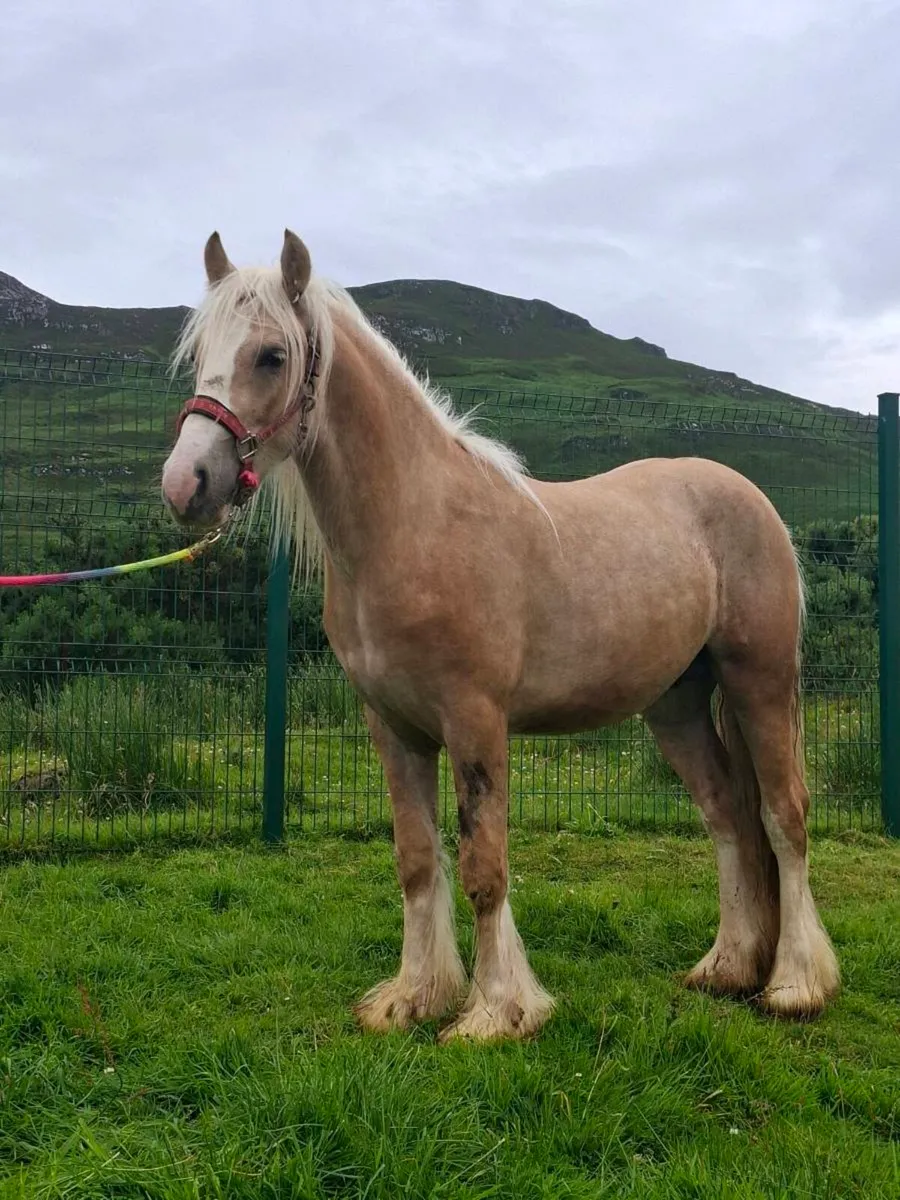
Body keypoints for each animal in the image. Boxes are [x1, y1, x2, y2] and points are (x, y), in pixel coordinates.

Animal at [160, 229, 840, 1041]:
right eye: (199, 351)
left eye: (270, 354)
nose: (186, 484)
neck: (414, 525)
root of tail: (749, 498)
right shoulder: (393, 727)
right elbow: (418, 861)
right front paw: (413, 997)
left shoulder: (476, 720)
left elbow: (485, 866)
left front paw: (495, 1012)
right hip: (676, 704)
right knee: (729, 817)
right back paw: (728, 968)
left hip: (759, 681)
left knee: (784, 816)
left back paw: (795, 984)